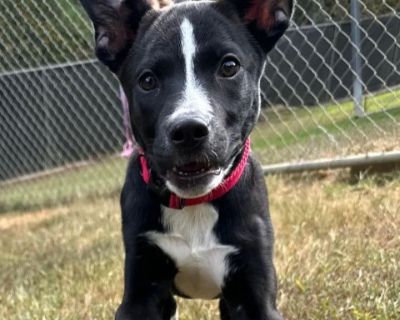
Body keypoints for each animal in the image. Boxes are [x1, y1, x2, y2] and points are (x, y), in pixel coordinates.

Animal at [80, 1, 294, 318]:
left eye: (229, 67)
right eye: (147, 80)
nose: (189, 130)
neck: (194, 205)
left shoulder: (255, 294)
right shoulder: (140, 290)